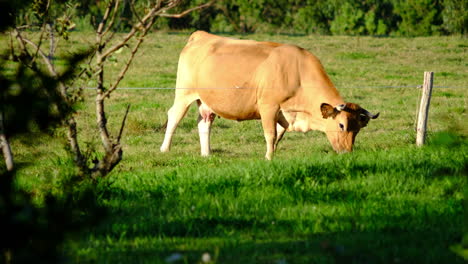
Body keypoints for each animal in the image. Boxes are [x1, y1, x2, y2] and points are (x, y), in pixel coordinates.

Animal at [161, 31, 380, 159]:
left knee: (204, 122)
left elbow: (278, 137)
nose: (347, 152)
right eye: (342, 125)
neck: (297, 72)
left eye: (358, 128)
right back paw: (165, 149)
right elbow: (270, 134)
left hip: (207, 101)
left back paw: (206, 154)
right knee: (174, 117)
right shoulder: (268, 107)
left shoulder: (284, 114)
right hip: (184, 93)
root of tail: (201, 35)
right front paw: (268, 158)